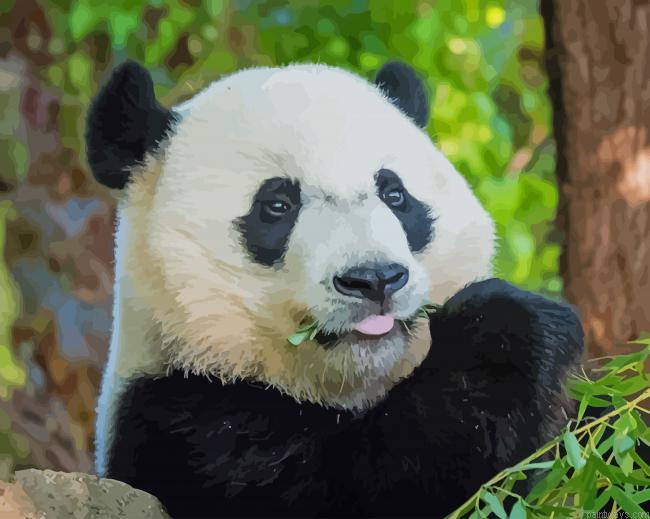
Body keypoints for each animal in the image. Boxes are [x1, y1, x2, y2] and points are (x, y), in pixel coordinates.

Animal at [86, 60, 583, 518]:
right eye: (277, 205)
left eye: (395, 195)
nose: (375, 279)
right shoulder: (184, 426)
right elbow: (378, 482)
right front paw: (502, 331)